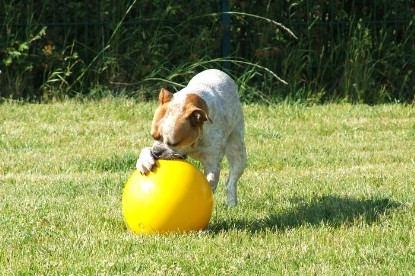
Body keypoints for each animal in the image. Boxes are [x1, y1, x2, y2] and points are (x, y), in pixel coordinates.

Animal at [136, 69, 247, 207]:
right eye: (153, 136)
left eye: (174, 143)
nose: (157, 152)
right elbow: (146, 149)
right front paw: (144, 161)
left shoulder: (212, 164)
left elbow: (210, 180)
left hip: (238, 152)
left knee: (231, 182)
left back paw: (232, 204)